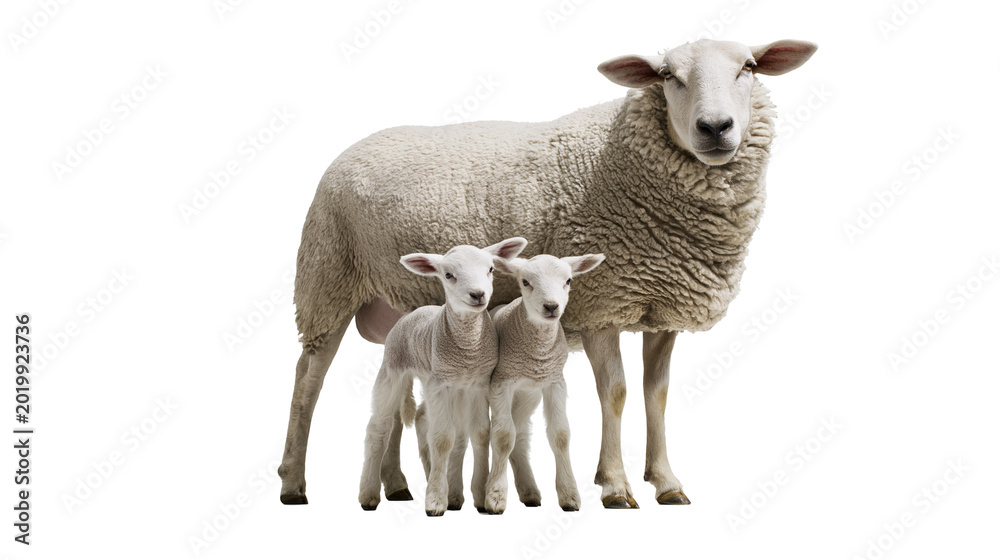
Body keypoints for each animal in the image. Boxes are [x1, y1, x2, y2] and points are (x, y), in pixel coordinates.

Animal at [357, 237, 527, 516]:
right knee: (378, 428)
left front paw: (479, 498)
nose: (478, 294)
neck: (467, 350)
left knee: (421, 418)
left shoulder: (478, 384)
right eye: (448, 275)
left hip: (432, 379)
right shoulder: (441, 385)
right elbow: (442, 438)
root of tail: (414, 312)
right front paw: (436, 501)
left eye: (491, 269)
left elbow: (480, 433)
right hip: (392, 370)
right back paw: (368, 495)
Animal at [479, 253, 605, 515]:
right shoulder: (501, 382)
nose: (551, 306)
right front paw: (495, 496)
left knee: (520, 434)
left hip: (528, 396)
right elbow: (502, 437)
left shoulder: (554, 382)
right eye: (525, 282)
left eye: (568, 280)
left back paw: (529, 492)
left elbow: (561, 435)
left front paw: (569, 495)